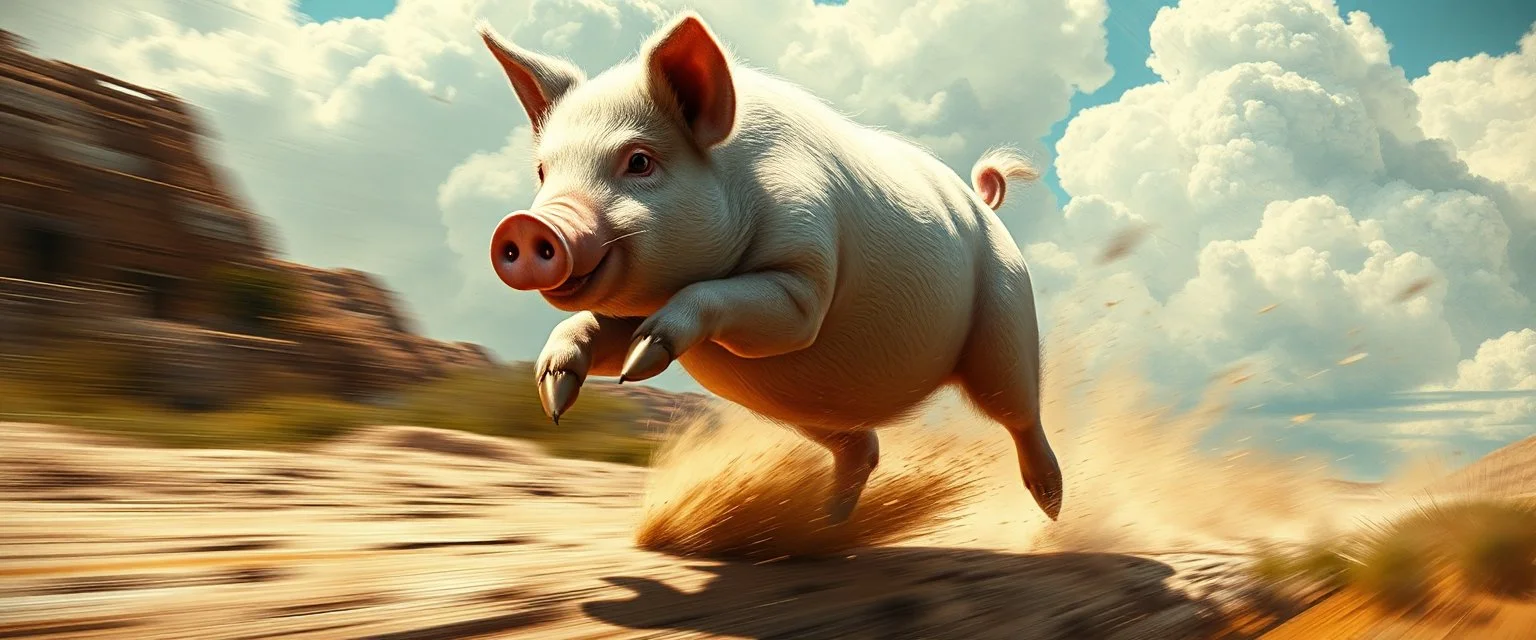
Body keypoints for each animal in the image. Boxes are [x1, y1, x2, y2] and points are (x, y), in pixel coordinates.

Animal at [478, 11, 1063, 524]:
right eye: (543, 172)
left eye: (639, 161)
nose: (526, 226)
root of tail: (984, 206)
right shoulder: (631, 310)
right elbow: (588, 326)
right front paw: (556, 395)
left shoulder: (804, 277)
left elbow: (752, 308)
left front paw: (640, 361)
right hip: (797, 409)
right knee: (862, 445)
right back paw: (828, 526)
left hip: (1004, 310)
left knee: (1018, 410)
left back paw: (1051, 504)